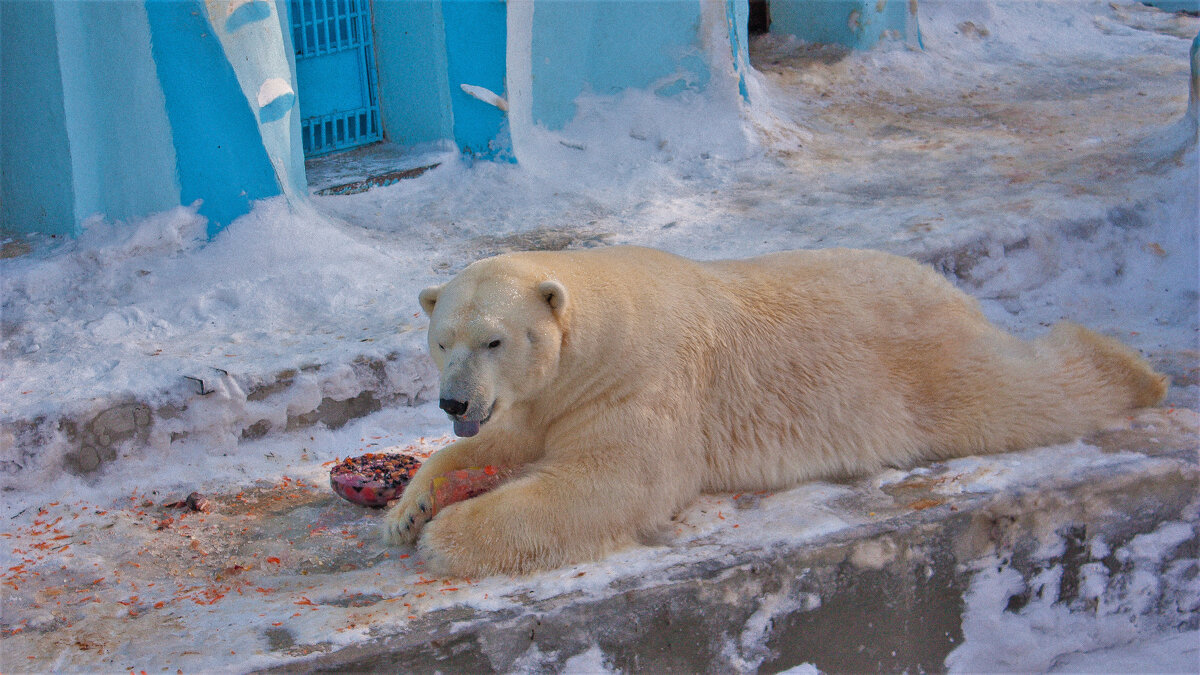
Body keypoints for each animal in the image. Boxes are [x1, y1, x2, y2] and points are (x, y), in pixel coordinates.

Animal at [381, 246, 1161, 571]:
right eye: (440, 339)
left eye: (494, 338)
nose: (454, 398)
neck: (599, 331)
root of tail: (947, 286)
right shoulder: (545, 397)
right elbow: (506, 440)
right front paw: (409, 510)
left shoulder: (640, 380)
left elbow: (612, 480)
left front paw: (447, 535)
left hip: (926, 368)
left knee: (1021, 392)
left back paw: (1132, 371)